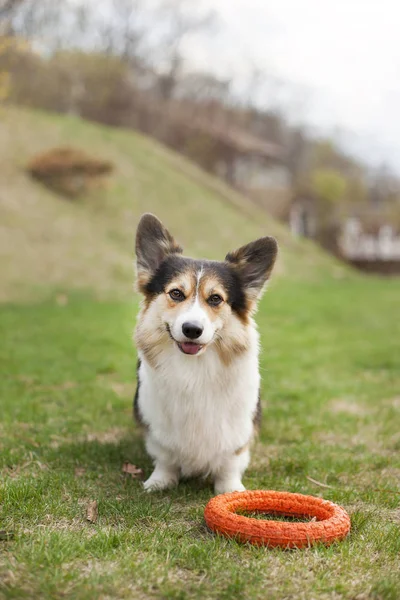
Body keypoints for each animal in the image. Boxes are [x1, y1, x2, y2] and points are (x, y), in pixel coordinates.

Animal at [134, 213, 278, 494]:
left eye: (215, 299)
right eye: (176, 293)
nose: (192, 329)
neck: (195, 366)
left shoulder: (237, 426)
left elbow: (230, 460)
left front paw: (230, 490)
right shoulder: (158, 421)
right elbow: (165, 455)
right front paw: (160, 481)